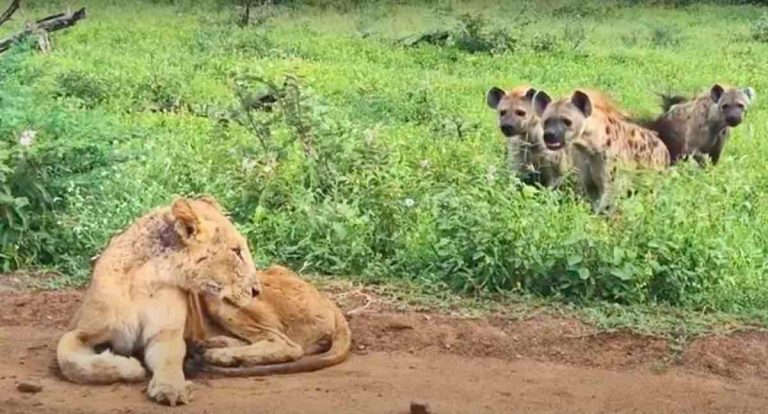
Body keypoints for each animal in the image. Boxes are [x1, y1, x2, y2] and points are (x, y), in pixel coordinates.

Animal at [56, 197, 260, 406]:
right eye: (236, 251)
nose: (256, 291)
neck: (144, 278)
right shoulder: (80, 331)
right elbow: (69, 361)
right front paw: (130, 366)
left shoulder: (164, 334)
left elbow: (170, 361)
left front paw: (171, 388)